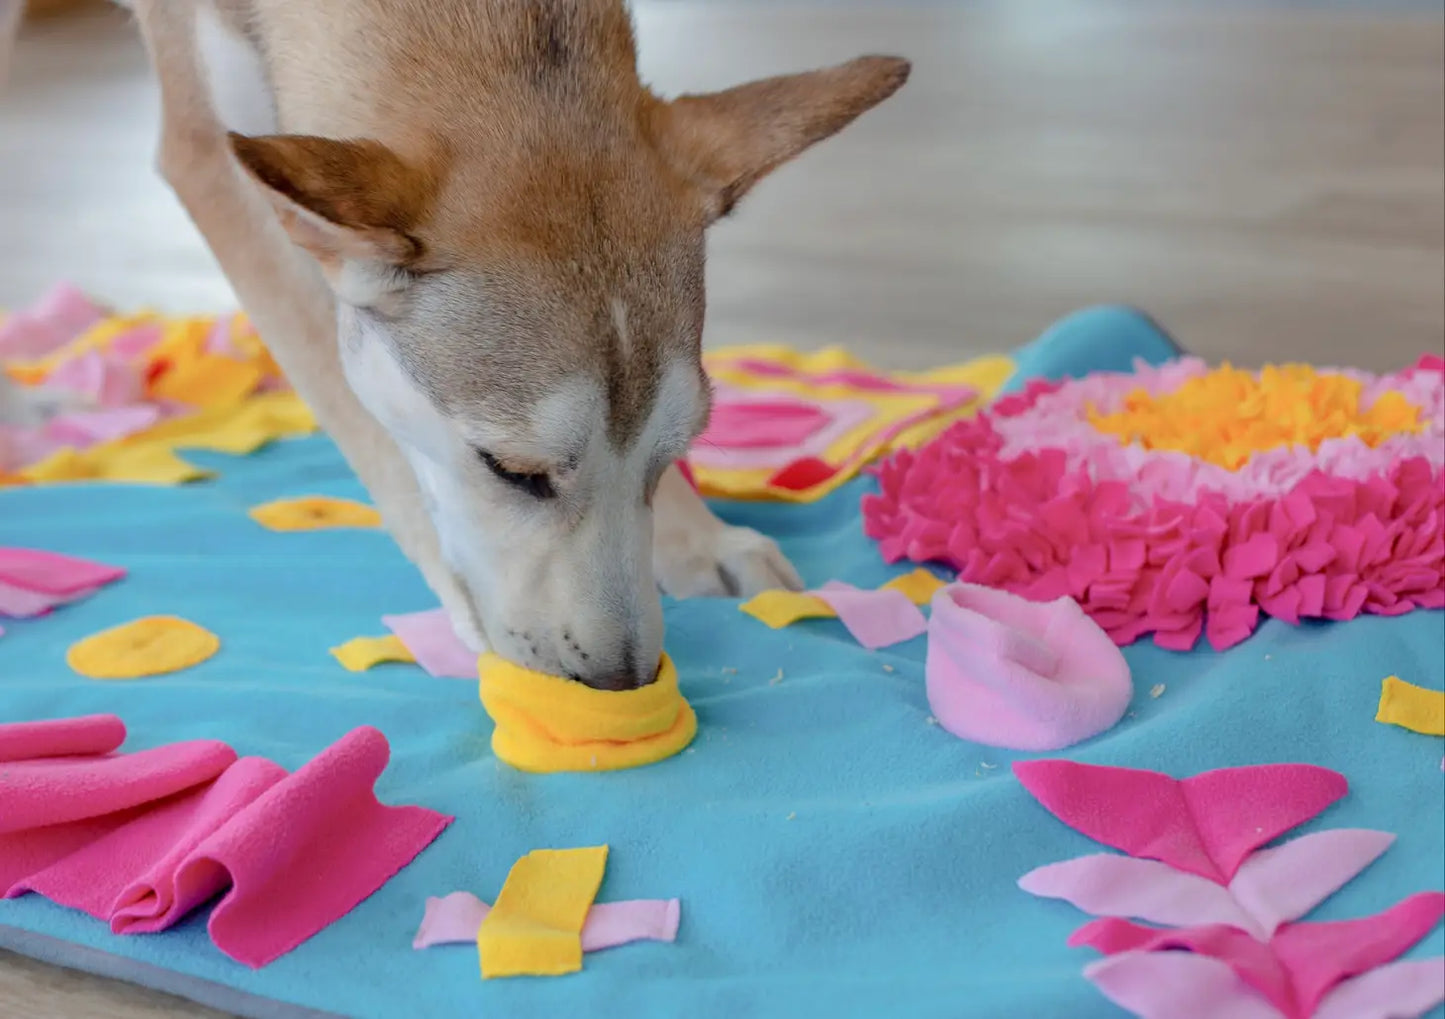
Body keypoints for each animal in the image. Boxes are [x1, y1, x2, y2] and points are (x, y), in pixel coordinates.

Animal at [11, 0, 907, 690]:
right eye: (510, 471)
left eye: (673, 454)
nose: (621, 677)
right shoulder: (213, 158)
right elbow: (365, 420)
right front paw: (472, 621)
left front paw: (700, 539)